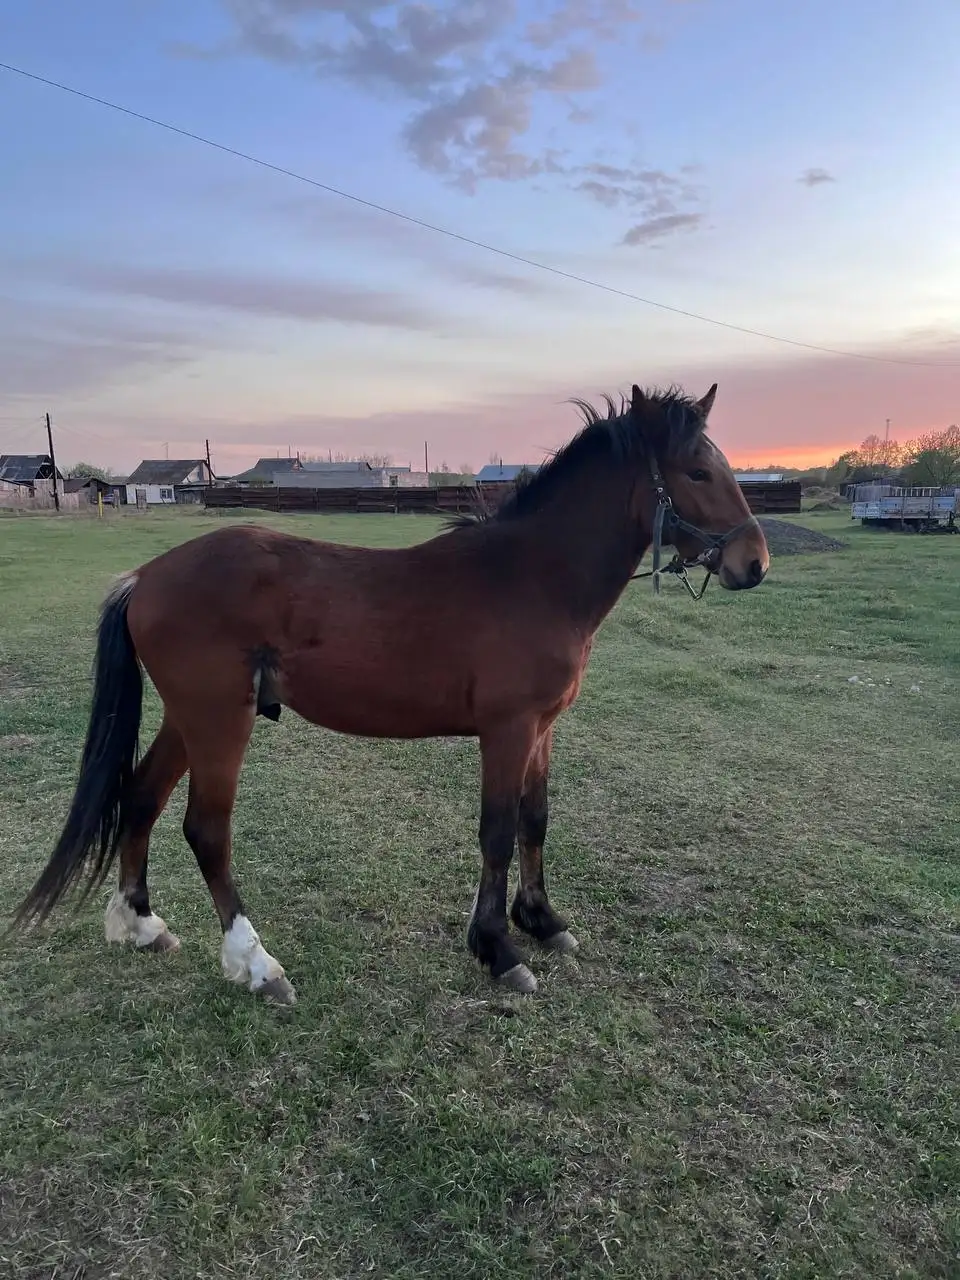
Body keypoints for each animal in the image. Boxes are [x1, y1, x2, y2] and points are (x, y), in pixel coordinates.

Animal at [10, 383, 769, 1003]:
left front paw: (540, 921)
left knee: (140, 796)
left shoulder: (542, 729)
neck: (531, 577)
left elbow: (535, 820)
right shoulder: (507, 730)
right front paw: (498, 949)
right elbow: (497, 831)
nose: (753, 563)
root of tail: (145, 576)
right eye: (697, 471)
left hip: (189, 717)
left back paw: (140, 923)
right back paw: (256, 963)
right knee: (206, 829)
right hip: (220, 720)